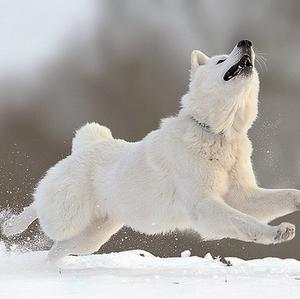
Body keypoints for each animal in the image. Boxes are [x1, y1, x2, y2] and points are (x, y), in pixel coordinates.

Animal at [2, 39, 300, 262]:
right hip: (67, 217)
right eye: (221, 60)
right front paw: (277, 233)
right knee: (38, 207)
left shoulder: (243, 196)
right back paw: (11, 226)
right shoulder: (204, 206)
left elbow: (283, 196)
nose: (245, 42)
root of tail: (88, 145)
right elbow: (243, 222)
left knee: (55, 251)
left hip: (92, 237)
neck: (218, 134)